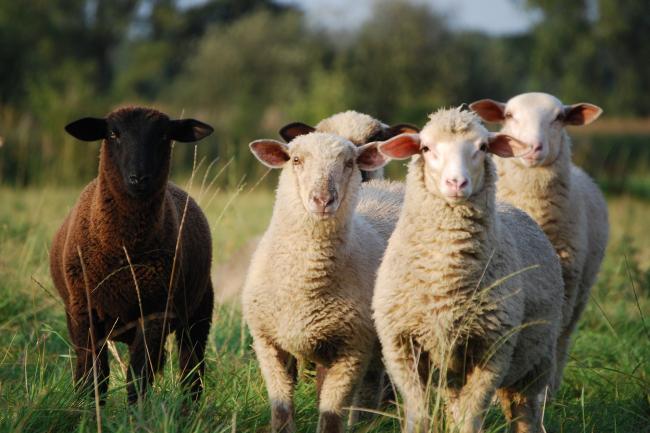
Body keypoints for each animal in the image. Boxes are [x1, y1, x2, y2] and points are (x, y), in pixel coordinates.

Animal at [50, 107, 214, 404]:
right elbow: (94, 374)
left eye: (164, 135)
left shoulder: (154, 313)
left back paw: (189, 408)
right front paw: (88, 408)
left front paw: (136, 411)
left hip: (198, 311)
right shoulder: (85, 310)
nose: (139, 179)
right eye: (113, 134)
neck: (124, 253)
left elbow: (138, 376)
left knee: (191, 368)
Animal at [242, 131, 400, 433]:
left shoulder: (352, 349)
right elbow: (281, 410)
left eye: (349, 163)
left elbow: (330, 415)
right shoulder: (268, 343)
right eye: (295, 160)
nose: (323, 199)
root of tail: (391, 186)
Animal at [372, 107, 563, 433]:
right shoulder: (401, 346)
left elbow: (470, 418)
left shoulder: (493, 350)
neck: (445, 280)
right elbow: (418, 414)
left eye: (482, 147)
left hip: (535, 363)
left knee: (525, 414)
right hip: (453, 370)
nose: (456, 183)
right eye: (426, 148)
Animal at [470, 92, 609, 392]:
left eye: (558, 118)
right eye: (509, 116)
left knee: (564, 337)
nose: (532, 148)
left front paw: (543, 390)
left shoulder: (566, 283)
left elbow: (551, 337)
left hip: (582, 290)